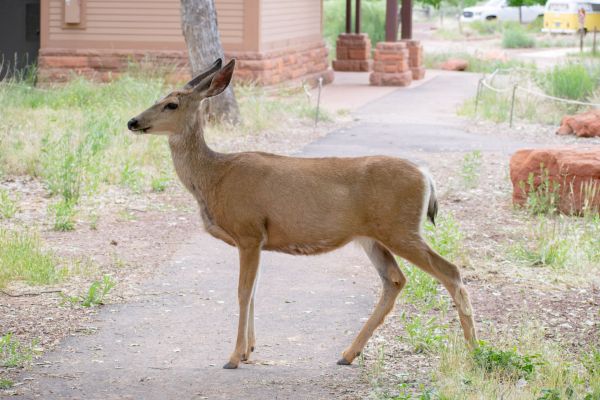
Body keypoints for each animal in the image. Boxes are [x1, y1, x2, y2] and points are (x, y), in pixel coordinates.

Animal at [127, 58, 478, 368]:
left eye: (171, 104)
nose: (133, 121)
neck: (214, 177)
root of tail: (425, 176)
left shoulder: (248, 231)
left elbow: (242, 292)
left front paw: (233, 357)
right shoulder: (257, 240)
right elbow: (253, 292)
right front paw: (249, 351)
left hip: (400, 229)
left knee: (450, 272)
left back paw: (474, 350)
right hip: (373, 236)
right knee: (394, 280)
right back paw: (348, 354)